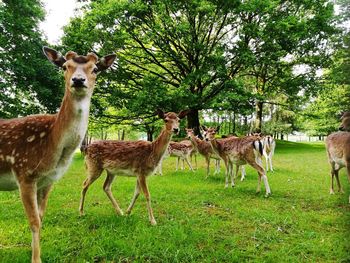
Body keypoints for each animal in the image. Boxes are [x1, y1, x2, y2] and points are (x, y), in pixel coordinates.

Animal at [0, 47, 116, 263]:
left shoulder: (48, 180)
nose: (78, 80)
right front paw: (36, 259)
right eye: (64, 66)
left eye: (95, 68)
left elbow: (41, 216)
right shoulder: (24, 173)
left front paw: (33, 251)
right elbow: (34, 221)